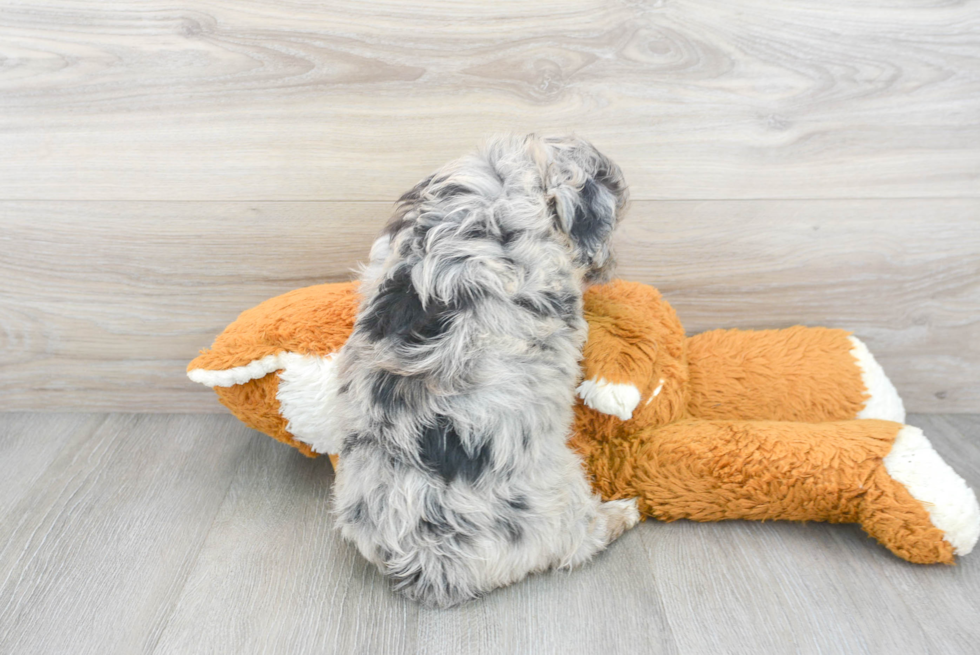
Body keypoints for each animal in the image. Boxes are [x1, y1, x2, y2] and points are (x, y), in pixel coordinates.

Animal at [334, 135, 640, 608]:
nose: (607, 269)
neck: (507, 182)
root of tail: (426, 563)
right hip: (559, 490)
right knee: (579, 542)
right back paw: (621, 513)